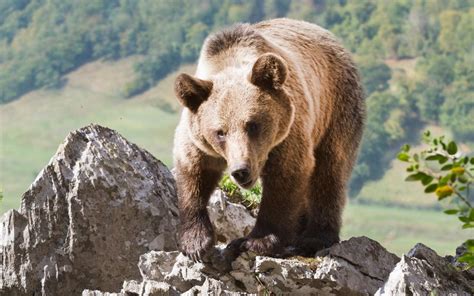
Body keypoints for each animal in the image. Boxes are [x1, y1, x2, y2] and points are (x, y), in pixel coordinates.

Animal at [172, 17, 364, 262]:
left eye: (252, 124)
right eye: (220, 132)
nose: (241, 170)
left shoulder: (287, 133)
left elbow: (286, 176)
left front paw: (258, 241)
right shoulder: (197, 137)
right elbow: (193, 172)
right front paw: (195, 242)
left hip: (336, 108)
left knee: (329, 170)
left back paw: (314, 238)